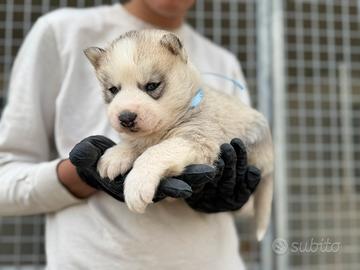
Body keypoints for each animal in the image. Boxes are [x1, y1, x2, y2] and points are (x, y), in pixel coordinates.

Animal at [84, 30, 274, 240]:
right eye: (113, 90)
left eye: (151, 86)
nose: (126, 117)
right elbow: (135, 144)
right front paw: (115, 156)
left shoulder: (197, 138)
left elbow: (155, 152)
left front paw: (138, 182)